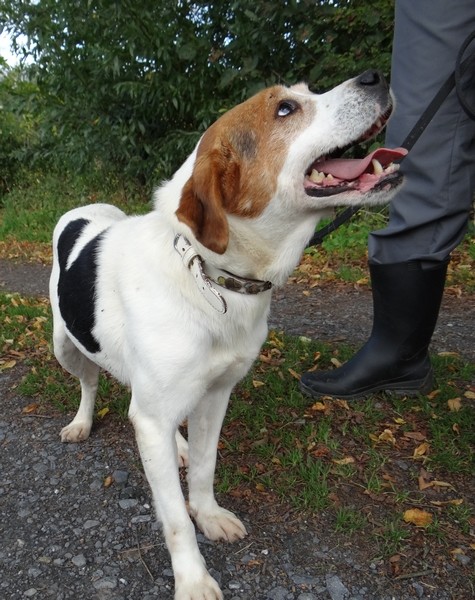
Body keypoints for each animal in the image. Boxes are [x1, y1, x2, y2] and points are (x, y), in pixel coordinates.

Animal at [49, 70, 406, 600]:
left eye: (306, 91)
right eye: (284, 109)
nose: (376, 76)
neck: (206, 271)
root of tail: (83, 209)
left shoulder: (216, 394)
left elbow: (203, 468)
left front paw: (209, 513)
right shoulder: (153, 415)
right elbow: (174, 517)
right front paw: (193, 579)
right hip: (65, 346)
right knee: (89, 384)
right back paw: (82, 422)